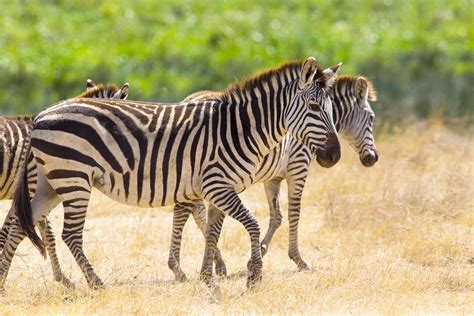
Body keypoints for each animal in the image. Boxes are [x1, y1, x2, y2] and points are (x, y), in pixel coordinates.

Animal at [167, 75, 378, 280]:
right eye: (372, 118)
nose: (373, 158)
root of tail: (188, 99)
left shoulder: (273, 178)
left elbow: (277, 216)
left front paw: (257, 255)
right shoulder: (298, 168)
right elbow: (294, 214)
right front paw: (297, 259)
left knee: (193, 212)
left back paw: (207, 264)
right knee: (188, 211)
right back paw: (184, 268)